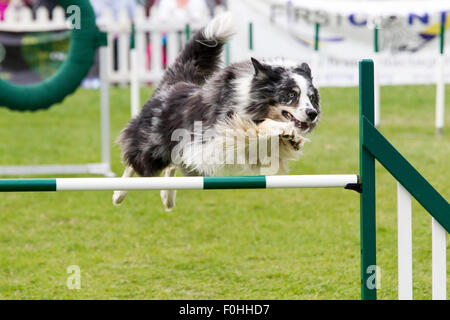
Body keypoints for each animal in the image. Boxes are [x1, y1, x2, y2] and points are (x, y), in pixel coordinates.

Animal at [114, 13, 322, 210]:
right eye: (291, 94)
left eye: (311, 97)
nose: (313, 114)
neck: (253, 100)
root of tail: (173, 83)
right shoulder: (222, 132)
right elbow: (256, 127)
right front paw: (283, 130)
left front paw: (293, 138)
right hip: (152, 146)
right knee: (135, 162)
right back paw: (119, 193)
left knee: (174, 164)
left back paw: (167, 197)